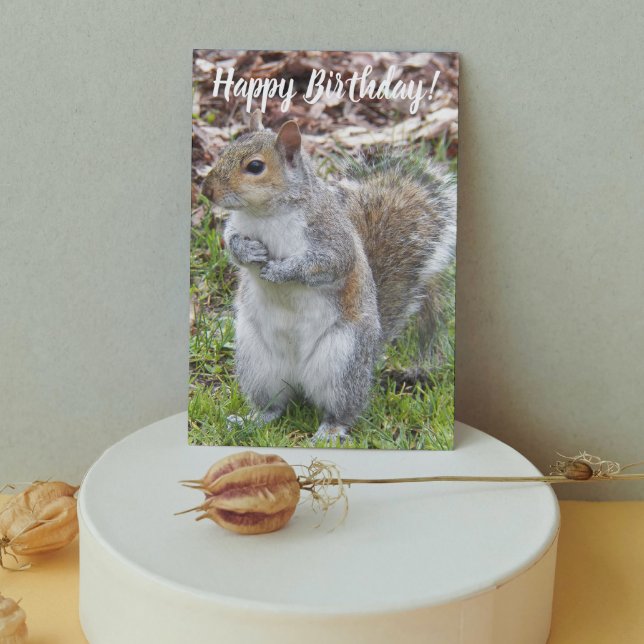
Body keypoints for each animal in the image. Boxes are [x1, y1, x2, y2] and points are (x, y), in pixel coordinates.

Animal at [202, 109, 456, 444]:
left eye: (255, 166)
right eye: (224, 151)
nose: (206, 190)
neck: (264, 214)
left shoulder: (330, 235)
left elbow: (330, 263)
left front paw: (282, 271)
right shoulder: (238, 225)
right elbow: (230, 241)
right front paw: (247, 250)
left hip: (341, 361)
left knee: (343, 409)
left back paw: (330, 431)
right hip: (257, 361)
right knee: (273, 404)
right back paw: (253, 419)